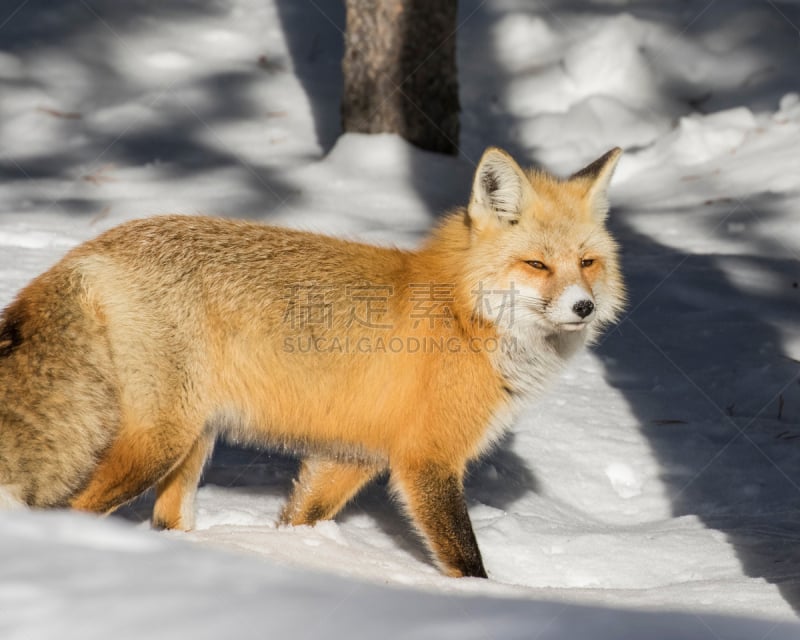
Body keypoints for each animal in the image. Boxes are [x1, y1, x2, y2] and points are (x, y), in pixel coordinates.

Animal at [0, 148, 624, 576]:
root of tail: (90, 249)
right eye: (537, 264)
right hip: (160, 442)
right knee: (78, 509)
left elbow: (298, 518)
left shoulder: (351, 455)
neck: (465, 315)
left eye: (587, 262)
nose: (584, 307)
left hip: (193, 439)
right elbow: (467, 563)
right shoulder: (428, 461)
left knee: (168, 519)